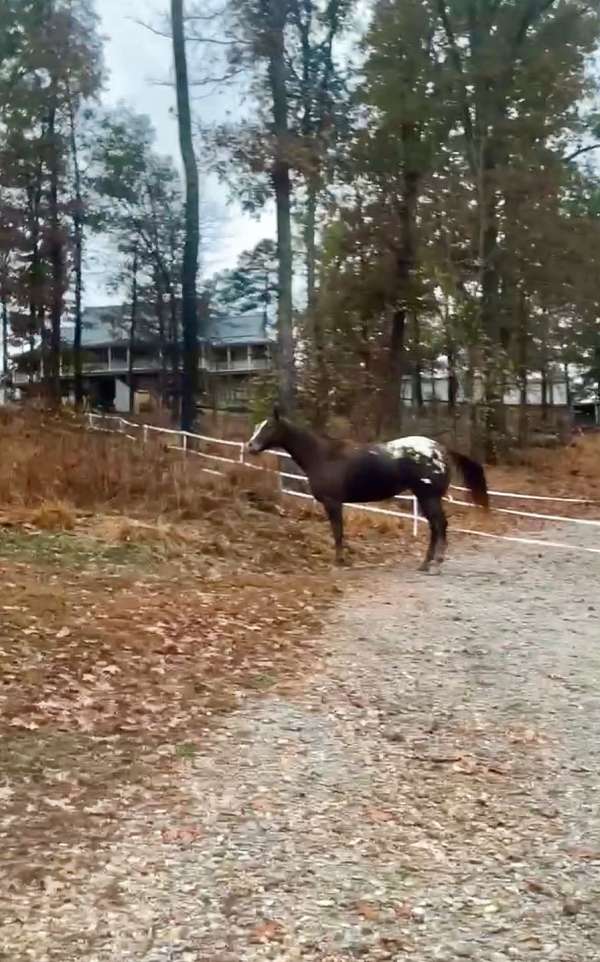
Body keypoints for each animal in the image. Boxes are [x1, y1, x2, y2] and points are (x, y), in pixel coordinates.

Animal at [246, 404, 490, 568]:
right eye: (257, 426)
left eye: (268, 427)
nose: (250, 446)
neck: (323, 456)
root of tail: (441, 449)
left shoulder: (333, 502)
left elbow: (337, 531)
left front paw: (339, 561)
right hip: (425, 497)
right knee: (436, 526)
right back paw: (428, 562)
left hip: (428, 497)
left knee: (439, 525)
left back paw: (433, 563)